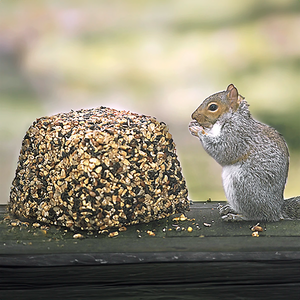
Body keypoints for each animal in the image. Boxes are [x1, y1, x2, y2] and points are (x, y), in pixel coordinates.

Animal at [189, 83, 300, 221]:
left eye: (213, 107)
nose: (193, 116)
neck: (234, 117)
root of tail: (276, 209)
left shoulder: (238, 135)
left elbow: (223, 151)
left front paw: (198, 130)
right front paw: (194, 125)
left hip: (243, 185)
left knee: (259, 216)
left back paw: (237, 216)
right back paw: (230, 209)